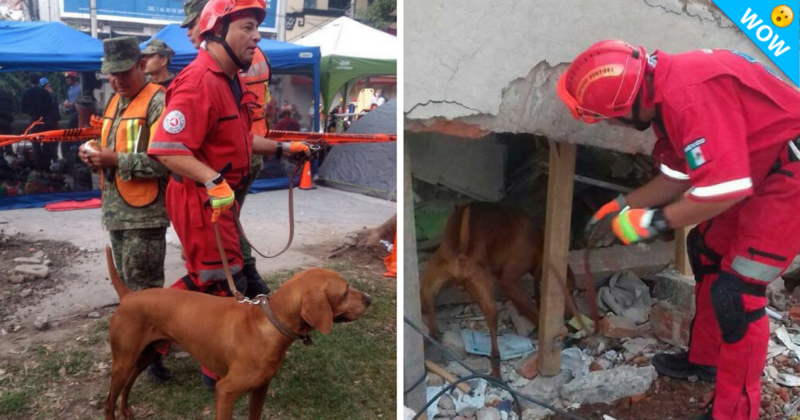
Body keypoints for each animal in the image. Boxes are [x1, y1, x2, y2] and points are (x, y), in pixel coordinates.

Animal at [102, 248, 372, 420]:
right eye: (345, 291)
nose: (370, 299)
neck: (270, 324)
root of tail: (129, 295)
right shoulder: (226, 391)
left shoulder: (260, 388)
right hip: (123, 362)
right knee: (108, 402)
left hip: (144, 356)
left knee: (127, 386)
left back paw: (126, 410)